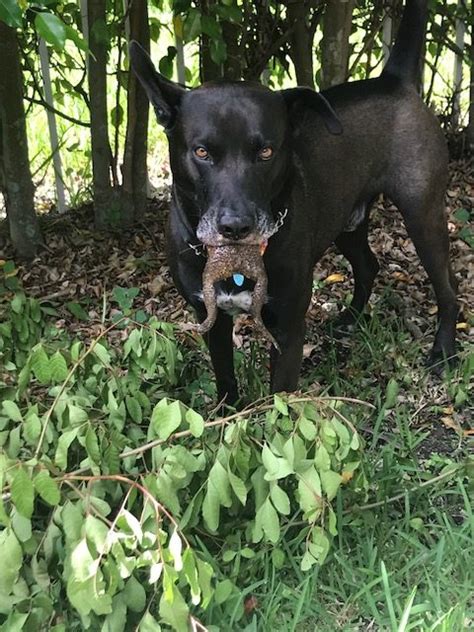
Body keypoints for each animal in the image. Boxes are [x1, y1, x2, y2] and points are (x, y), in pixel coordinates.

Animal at [131, 1, 458, 404]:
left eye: (266, 151)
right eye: (202, 151)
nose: (236, 227)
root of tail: (393, 80)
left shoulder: (288, 328)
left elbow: (279, 403)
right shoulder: (211, 319)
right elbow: (225, 380)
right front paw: (227, 414)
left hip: (422, 215)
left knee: (447, 288)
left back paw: (444, 351)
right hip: (345, 219)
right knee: (369, 265)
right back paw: (350, 319)